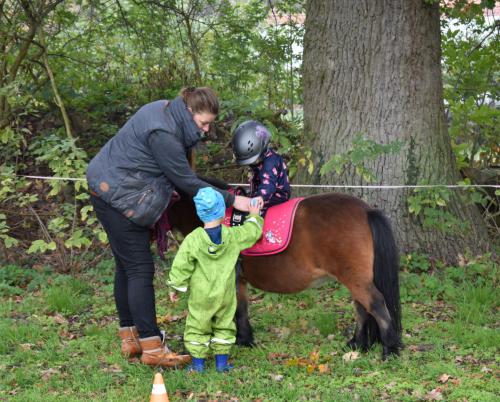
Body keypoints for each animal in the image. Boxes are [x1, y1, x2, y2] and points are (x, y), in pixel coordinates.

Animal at [168, 178, 402, 358]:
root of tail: (366, 210)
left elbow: (235, 309)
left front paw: (240, 340)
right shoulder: (239, 280)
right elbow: (242, 308)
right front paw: (245, 339)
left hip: (355, 279)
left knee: (376, 305)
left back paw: (389, 350)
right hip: (355, 279)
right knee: (362, 308)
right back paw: (358, 344)